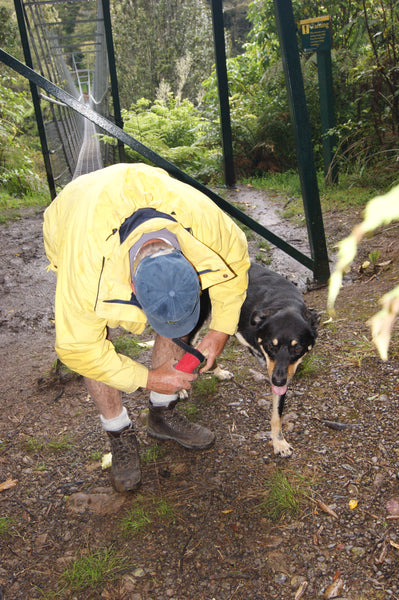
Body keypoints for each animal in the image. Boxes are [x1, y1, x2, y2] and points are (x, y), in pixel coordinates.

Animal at [189, 262, 320, 454]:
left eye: (297, 348)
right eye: (271, 346)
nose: (278, 381)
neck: (283, 302)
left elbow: (277, 414)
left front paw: (279, 442)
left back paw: (218, 372)